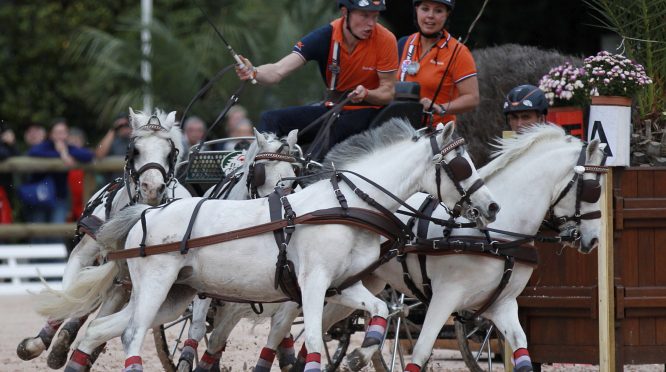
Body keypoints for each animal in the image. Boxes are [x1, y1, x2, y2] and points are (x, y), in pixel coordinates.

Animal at [18, 107, 189, 366]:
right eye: (136, 150)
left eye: (169, 153)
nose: (152, 188)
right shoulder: (83, 255)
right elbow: (69, 296)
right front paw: (38, 344)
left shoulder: (124, 284)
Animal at [65, 120, 496, 372]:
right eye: (462, 166)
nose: (491, 206)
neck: (344, 206)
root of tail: (147, 213)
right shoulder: (313, 284)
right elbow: (316, 345)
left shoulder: (344, 286)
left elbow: (379, 315)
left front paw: (359, 354)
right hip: (158, 287)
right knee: (131, 335)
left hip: (175, 295)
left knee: (99, 329)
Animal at [294, 123, 604, 370]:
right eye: (593, 189)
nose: (594, 239)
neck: (492, 235)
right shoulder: (445, 297)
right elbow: (420, 352)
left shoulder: (502, 305)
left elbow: (522, 350)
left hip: (360, 283)